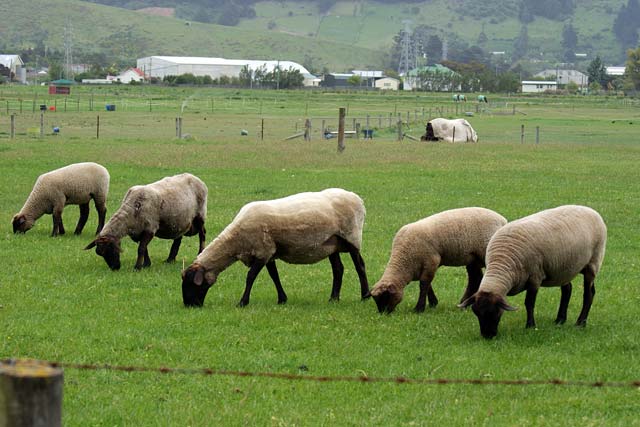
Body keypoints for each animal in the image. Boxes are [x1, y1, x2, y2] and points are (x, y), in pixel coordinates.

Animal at [181, 188, 370, 308]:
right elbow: (274, 276)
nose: (189, 306)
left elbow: (250, 277)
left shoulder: (263, 251)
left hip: (352, 236)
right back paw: (333, 298)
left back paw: (365, 296)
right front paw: (282, 299)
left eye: (191, 284)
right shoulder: (269, 251)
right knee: (338, 269)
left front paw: (242, 302)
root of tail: (357, 198)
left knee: (360, 266)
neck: (235, 240)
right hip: (331, 243)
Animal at [369, 207, 507, 314]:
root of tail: (502, 220)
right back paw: (463, 303)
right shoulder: (425, 265)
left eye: (385, 297)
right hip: (472, 257)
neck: (404, 260)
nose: (383, 314)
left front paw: (419, 308)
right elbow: (427, 284)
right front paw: (432, 303)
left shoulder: (431, 261)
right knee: (475, 278)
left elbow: (424, 284)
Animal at [459, 205, 607, 339]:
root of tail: (590, 209)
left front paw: (530, 326)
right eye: (476, 313)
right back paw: (560, 320)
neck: (502, 263)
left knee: (589, 294)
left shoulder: (535, 277)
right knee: (567, 290)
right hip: (564, 268)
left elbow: (529, 303)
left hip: (593, 263)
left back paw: (580, 323)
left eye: (495, 312)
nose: (487, 336)